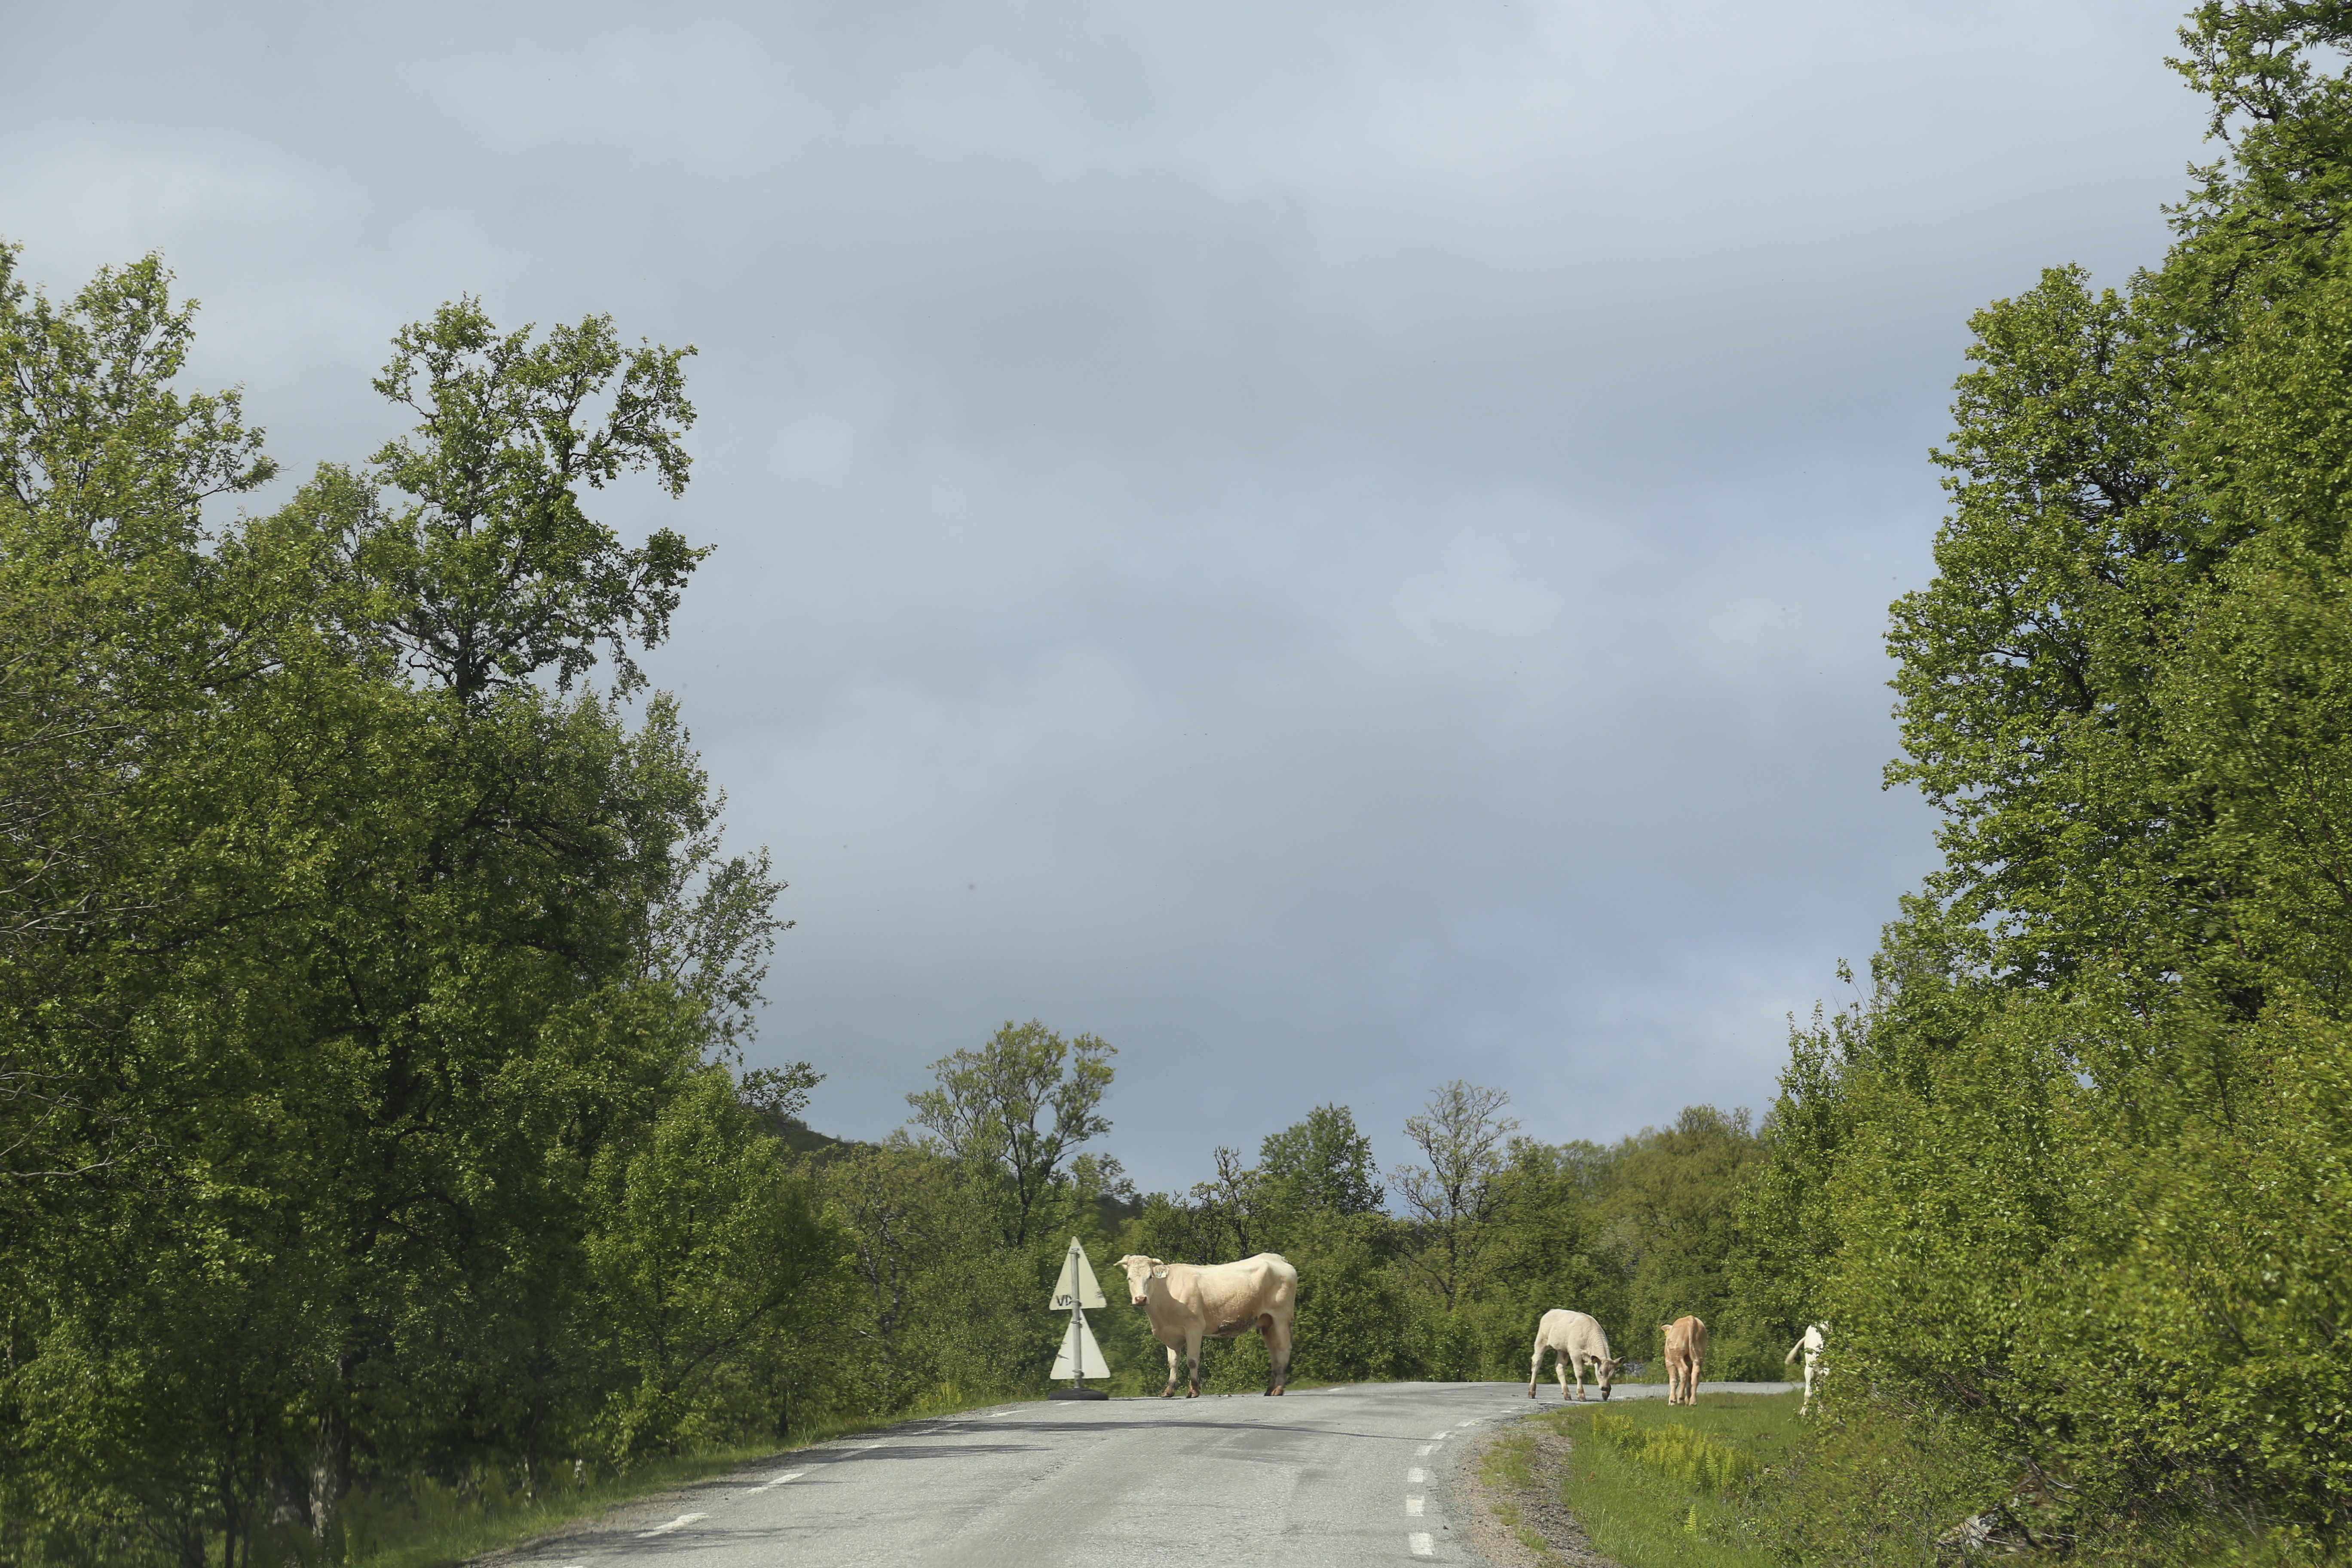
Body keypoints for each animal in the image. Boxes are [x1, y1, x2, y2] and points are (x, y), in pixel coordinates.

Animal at [1110, 1250, 1298, 1401]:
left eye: (1150, 1277)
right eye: (1129, 1278)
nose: (1141, 1299)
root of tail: (1276, 1257)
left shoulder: (1194, 1327)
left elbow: (1192, 1361)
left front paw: (1194, 1390)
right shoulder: (1170, 1334)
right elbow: (1173, 1362)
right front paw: (1169, 1390)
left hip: (1281, 1316)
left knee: (1283, 1349)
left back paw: (1278, 1389)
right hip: (1268, 1322)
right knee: (1274, 1352)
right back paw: (1270, 1389)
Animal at [1524, 1307, 1618, 1401]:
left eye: (1613, 1374)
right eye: (1601, 1372)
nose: (1605, 1388)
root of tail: (1552, 1310)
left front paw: (1606, 1394)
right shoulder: (1575, 1353)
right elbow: (1580, 1374)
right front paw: (1581, 1395)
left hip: (1563, 1350)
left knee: (1559, 1367)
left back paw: (1567, 1394)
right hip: (1541, 1341)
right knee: (1537, 1364)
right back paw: (1532, 1392)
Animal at [1656, 1316, 1712, 1410]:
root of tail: (1691, 1318)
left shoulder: (1669, 1362)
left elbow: (1674, 1381)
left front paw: (1672, 1401)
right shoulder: (1689, 1363)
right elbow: (1688, 1382)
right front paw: (1687, 1401)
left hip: (1677, 1355)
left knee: (1683, 1371)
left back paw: (1680, 1398)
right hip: (1699, 1355)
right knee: (1695, 1376)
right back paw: (1693, 1402)